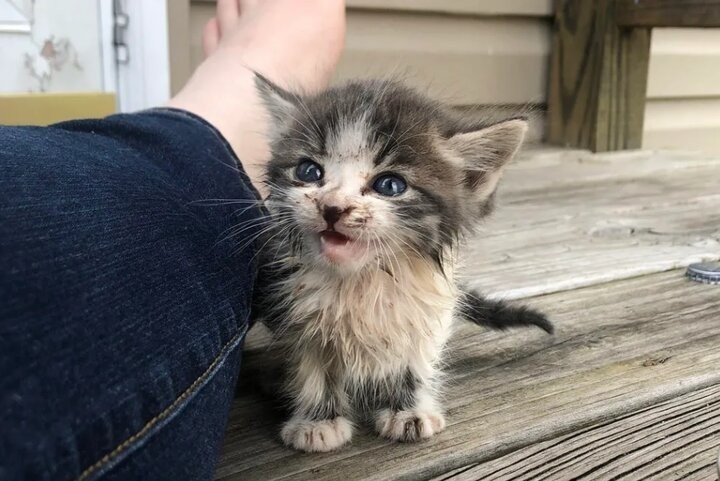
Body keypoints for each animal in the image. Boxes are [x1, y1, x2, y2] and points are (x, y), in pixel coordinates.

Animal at [250, 74, 556, 450]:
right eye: (309, 171)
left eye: (390, 185)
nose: (333, 207)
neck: (362, 280)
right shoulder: (297, 311)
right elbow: (313, 367)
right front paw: (318, 421)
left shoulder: (430, 308)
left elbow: (416, 360)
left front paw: (409, 411)